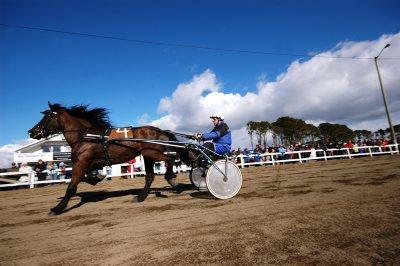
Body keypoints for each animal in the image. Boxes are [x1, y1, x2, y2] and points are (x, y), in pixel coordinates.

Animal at [28, 102, 191, 214]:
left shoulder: (82, 162)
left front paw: (58, 208)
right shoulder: (90, 163)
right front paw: (98, 177)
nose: (31, 131)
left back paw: (171, 179)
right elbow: (88, 177)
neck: (86, 137)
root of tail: (161, 130)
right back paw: (140, 197)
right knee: (150, 176)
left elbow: (71, 186)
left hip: (152, 153)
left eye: (46, 117)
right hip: (147, 156)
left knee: (170, 160)